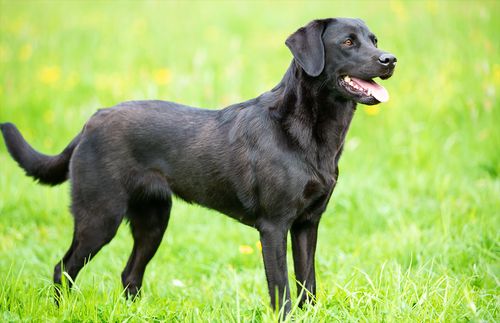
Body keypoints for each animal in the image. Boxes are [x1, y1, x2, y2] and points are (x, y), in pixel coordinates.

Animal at [1, 18, 396, 316]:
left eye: (374, 40)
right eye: (348, 42)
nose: (390, 59)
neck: (305, 131)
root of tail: (91, 121)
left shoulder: (307, 224)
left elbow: (307, 283)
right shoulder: (273, 226)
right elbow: (281, 286)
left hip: (153, 220)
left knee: (129, 274)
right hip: (99, 217)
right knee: (64, 268)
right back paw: (59, 311)